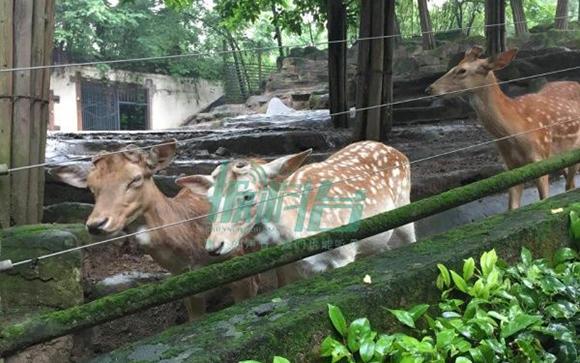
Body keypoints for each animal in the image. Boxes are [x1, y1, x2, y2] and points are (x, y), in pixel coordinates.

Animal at [177, 141, 416, 286]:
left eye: (248, 195)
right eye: (210, 199)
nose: (214, 246)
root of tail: (397, 151)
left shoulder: (344, 254)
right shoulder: (297, 270)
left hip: (405, 204)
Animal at [426, 46, 580, 210]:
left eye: (462, 70)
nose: (429, 89)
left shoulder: (540, 157)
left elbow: (544, 200)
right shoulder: (510, 166)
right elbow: (512, 208)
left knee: (570, 185)